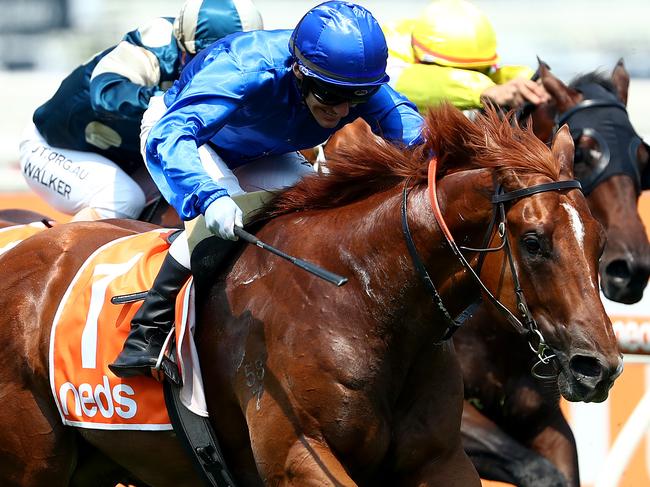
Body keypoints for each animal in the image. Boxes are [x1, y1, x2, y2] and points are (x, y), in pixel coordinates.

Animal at [0, 105, 616, 486]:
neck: (362, 299)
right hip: (34, 460)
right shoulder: (298, 454)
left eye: (598, 239)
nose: (598, 368)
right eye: (534, 242)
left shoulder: (440, 458)